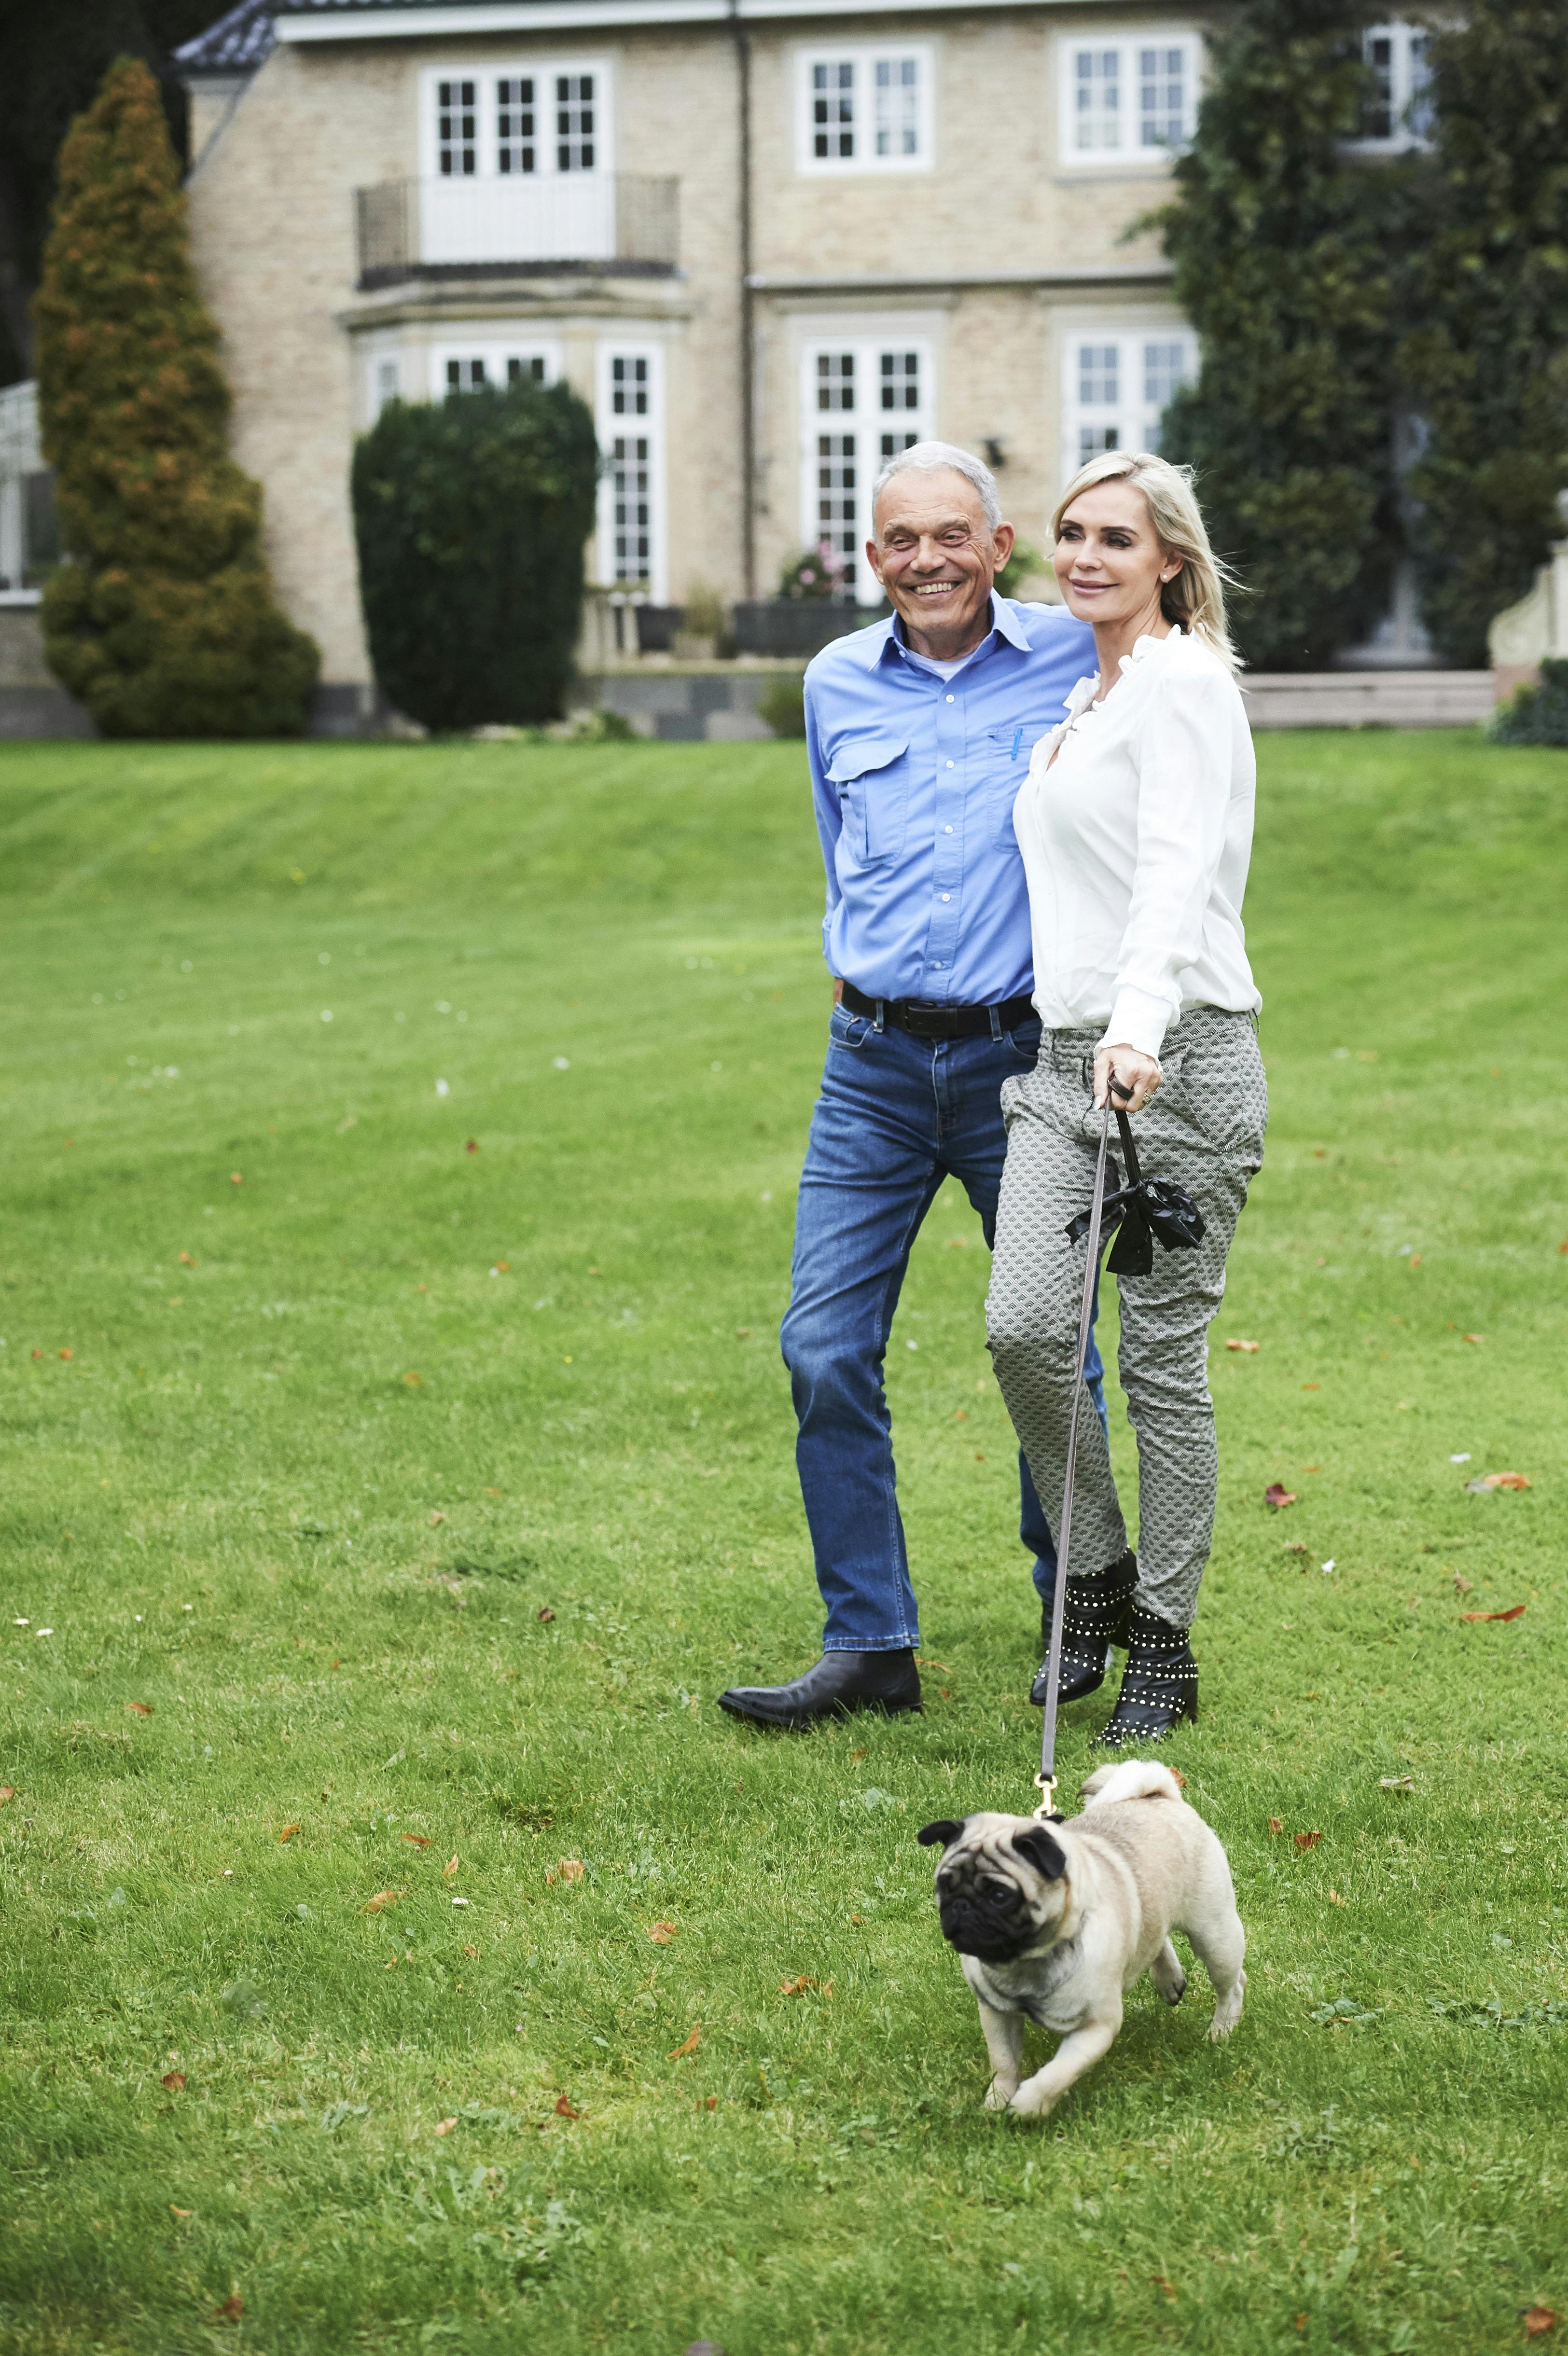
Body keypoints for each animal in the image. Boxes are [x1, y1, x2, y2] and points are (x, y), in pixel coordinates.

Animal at [909, 1753, 1243, 2120]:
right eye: (945, 1886)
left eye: (999, 1895)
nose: (962, 1906)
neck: (1026, 1961)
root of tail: (1158, 1795)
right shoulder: (996, 2013)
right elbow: (1004, 2062)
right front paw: (998, 2100)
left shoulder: (1096, 2028)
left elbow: (1059, 2072)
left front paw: (1029, 2105)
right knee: (1154, 1935)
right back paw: (1169, 1979)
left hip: (1215, 1935)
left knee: (1232, 1985)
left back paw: (1221, 2031)